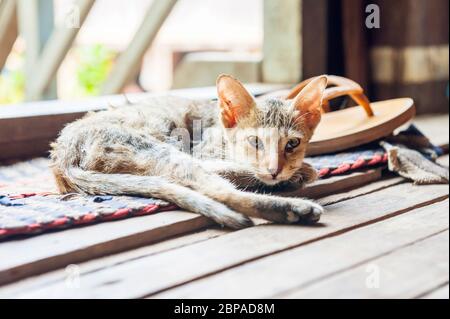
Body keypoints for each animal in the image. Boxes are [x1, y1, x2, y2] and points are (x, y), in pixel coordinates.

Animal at [51, 75, 328, 230]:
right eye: (255, 141)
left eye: (292, 144)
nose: (275, 170)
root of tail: (62, 154)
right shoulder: (203, 152)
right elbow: (245, 171)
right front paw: (299, 172)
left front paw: (292, 171)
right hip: (164, 149)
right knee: (219, 190)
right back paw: (293, 207)